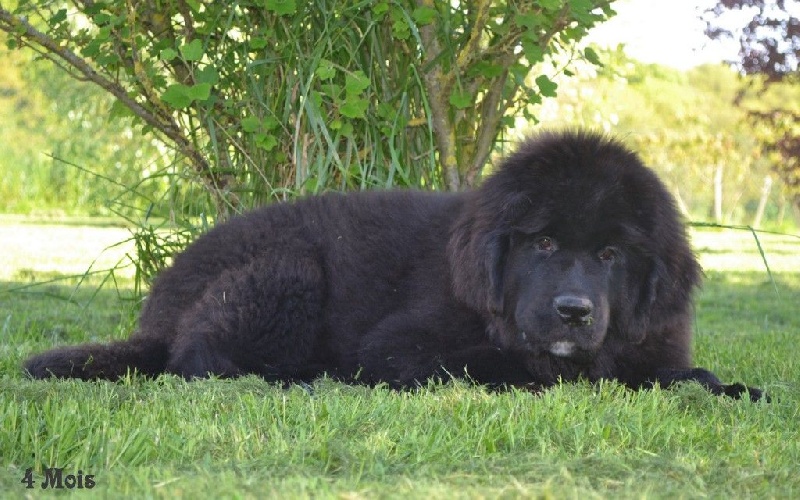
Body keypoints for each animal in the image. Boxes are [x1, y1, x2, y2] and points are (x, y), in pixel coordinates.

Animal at [23, 131, 764, 400]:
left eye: (611, 254)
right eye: (543, 245)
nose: (574, 312)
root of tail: (156, 306)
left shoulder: (652, 343)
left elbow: (686, 374)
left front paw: (733, 388)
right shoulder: (399, 346)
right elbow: (510, 367)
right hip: (287, 270)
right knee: (199, 359)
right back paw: (299, 379)